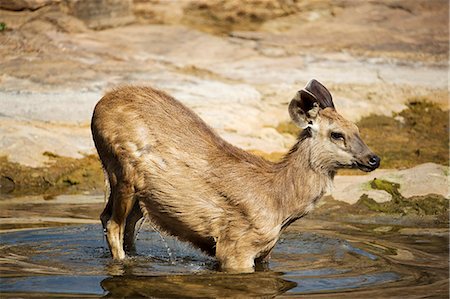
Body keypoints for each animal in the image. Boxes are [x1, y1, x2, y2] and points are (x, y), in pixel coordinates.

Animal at [91, 79, 380, 274]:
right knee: (114, 224)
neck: (280, 203)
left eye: (357, 128)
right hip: (123, 171)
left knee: (117, 222)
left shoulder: (265, 252)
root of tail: (99, 105)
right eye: (337, 134)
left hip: (139, 193)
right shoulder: (236, 246)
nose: (374, 158)